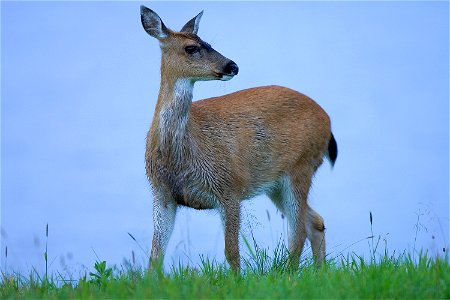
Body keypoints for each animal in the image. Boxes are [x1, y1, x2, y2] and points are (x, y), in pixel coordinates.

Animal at [141, 5, 338, 272]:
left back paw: (290, 275)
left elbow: (231, 252)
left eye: (208, 42)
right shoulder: (162, 193)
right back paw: (318, 272)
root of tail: (326, 119)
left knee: (298, 231)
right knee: (314, 221)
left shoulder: (230, 186)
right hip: (275, 183)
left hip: (301, 166)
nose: (232, 66)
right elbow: (155, 255)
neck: (182, 153)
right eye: (191, 47)